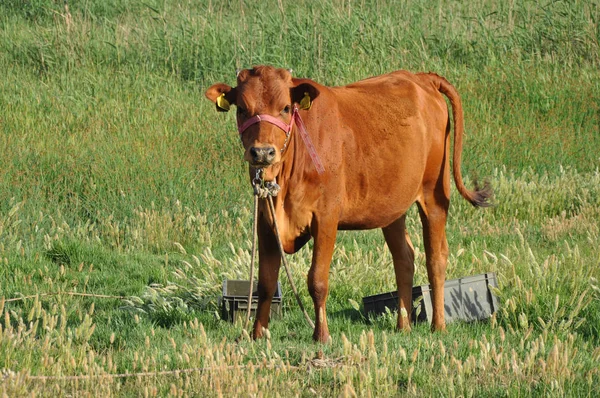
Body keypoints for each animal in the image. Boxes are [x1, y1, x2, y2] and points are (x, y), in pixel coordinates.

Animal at [204, 65, 490, 342]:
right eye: (241, 109)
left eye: (285, 107)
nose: (262, 152)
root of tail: (421, 77)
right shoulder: (266, 219)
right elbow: (265, 283)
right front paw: (256, 334)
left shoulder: (326, 217)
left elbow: (317, 280)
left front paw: (321, 335)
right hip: (392, 207)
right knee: (404, 259)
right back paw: (403, 326)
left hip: (435, 194)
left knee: (436, 257)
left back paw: (438, 325)